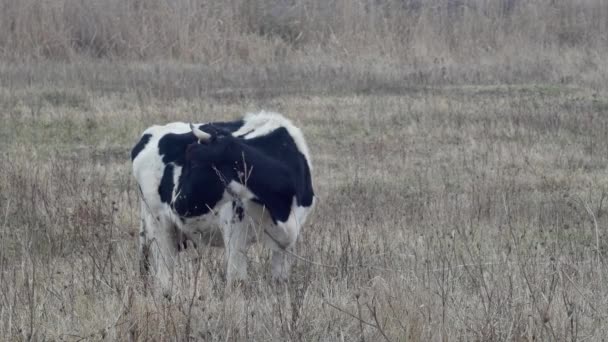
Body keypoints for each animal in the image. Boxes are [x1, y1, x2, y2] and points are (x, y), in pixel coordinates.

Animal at [131, 111, 316, 294]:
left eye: (195, 162)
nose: (177, 202)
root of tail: (151, 131)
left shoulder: (287, 240)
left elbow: (280, 282)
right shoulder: (235, 230)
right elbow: (238, 281)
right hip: (158, 224)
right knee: (164, 276)